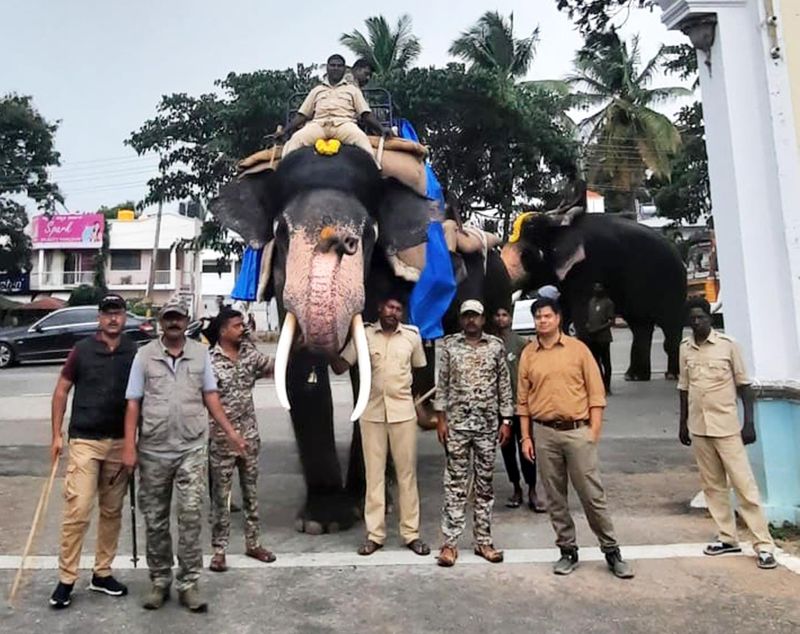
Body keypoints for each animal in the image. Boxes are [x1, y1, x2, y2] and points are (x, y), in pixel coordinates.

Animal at [211, 144, 512, 532]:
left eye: (369, 233)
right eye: (281, 231)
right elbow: (300, 370)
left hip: (497, 288)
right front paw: (322, 522)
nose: (340, 241)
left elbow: (371, 375)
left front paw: (364, 503)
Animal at [504, 210, 684, 380]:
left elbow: (582, 317)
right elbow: (564, 313)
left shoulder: (587, 270)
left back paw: (671, 375)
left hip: (671, 283)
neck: (557, 223)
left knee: (669, 325)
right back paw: (635, 376)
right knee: (640, 326)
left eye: (526, 256)